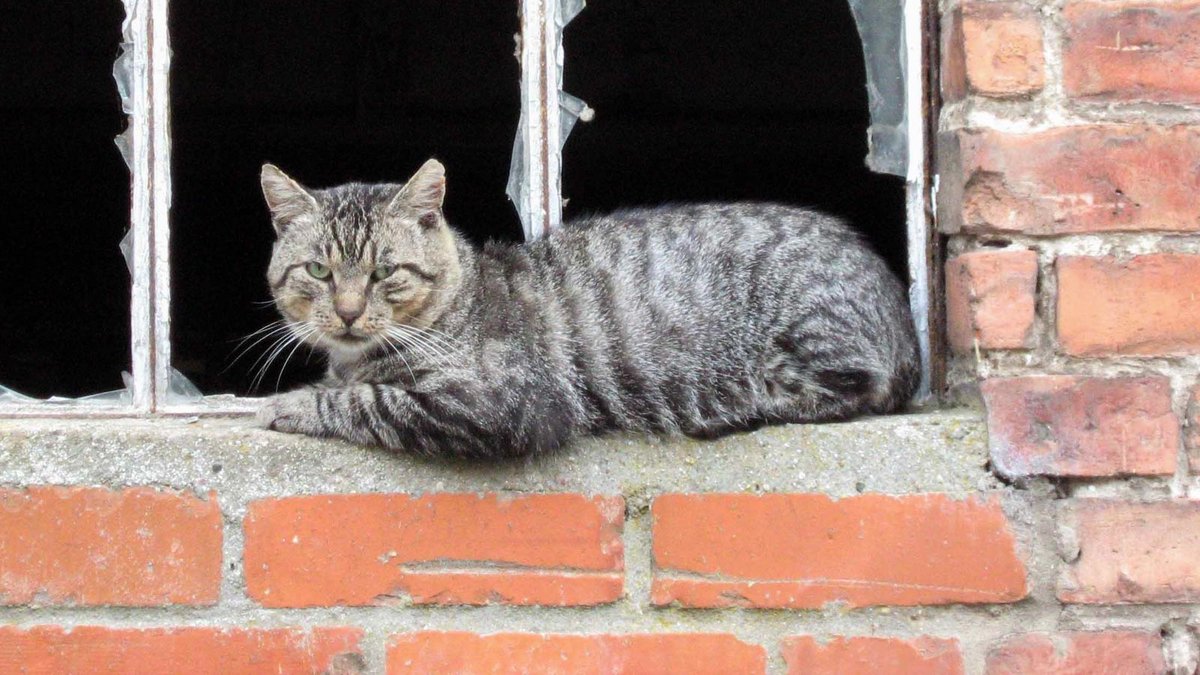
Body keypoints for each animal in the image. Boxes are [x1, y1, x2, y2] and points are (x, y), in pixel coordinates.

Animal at [258, 158, 916, 456]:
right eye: (319, 271)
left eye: (384, 272)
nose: (347, 311)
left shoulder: (507, 402)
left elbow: (371, 401)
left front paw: (291, 404)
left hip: (812, 335)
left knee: (852, 387)